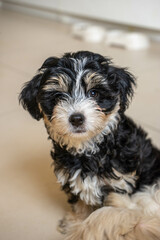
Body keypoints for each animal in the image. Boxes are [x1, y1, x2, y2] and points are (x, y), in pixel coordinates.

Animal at [19, 51, 160, 239]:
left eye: (94, 93)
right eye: (58, 97)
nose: (76, 118)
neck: (89, 148)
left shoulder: (122, 182)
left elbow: (115, 211)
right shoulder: (74, 179)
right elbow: (81, 205)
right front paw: (77, 223)